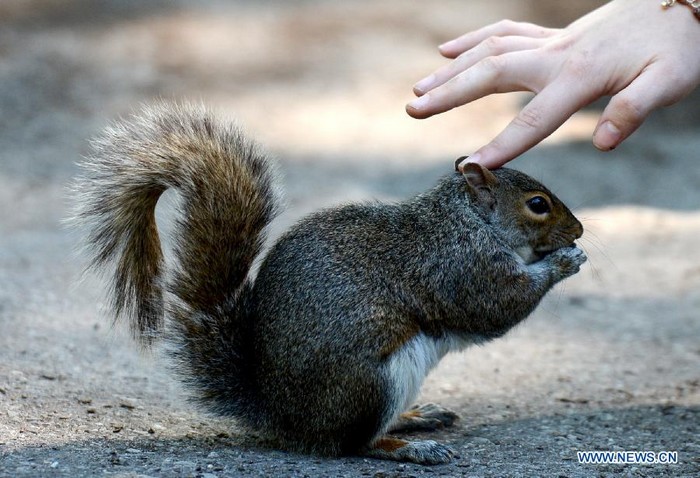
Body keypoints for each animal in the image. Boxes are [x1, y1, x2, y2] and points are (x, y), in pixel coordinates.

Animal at [72, 102, 584, 464]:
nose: (579, 230)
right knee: (351, 444)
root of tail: (283, 415)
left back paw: (415, 418)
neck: (468, 220)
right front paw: (565, 261)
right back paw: (407, 447)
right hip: (373, 381)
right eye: (538, 204)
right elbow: (498, 304)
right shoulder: (460, 267)